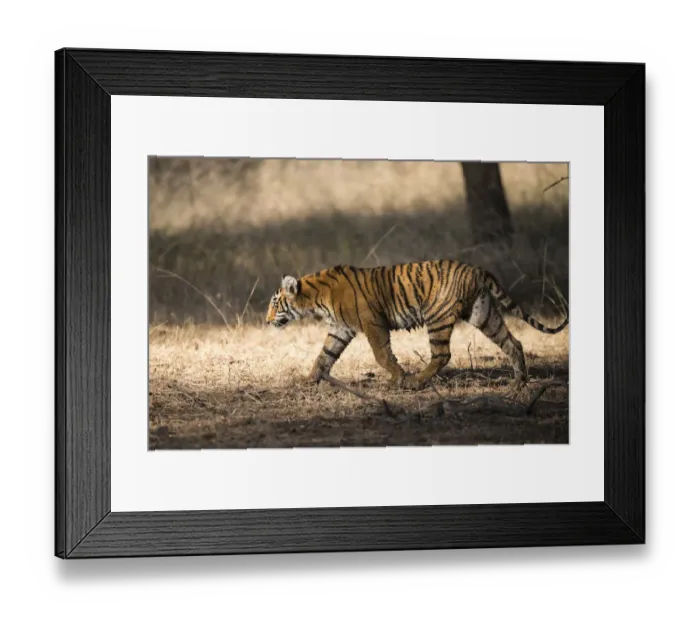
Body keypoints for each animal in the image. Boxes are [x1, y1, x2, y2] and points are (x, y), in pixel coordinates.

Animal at [265, 259, 568, 391]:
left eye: (275, 304)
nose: (267, 321)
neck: (314, 298)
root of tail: (477, 269)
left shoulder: (373, 323)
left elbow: (382, 355)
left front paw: (397, 378)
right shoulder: (340, 329)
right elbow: (324, 356)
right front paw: (308, 379)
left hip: (437, 317)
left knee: (442, 354)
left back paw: (415, 381)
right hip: (484, 314)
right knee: (513, 342)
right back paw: (519, 381)